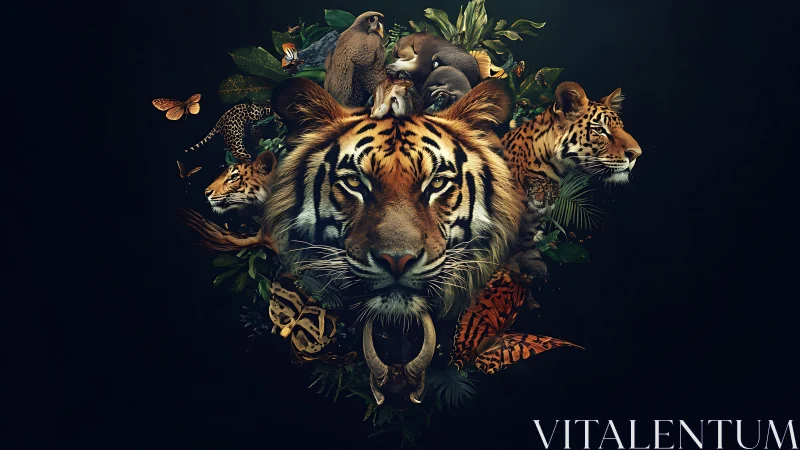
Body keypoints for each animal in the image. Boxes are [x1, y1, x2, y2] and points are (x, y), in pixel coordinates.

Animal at [501, 81, 642, 273]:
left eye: (621, 127)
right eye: (599, 130)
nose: (637, 154)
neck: (554, 170)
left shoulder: (539, 212)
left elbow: (528, 234)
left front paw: (531, 258)